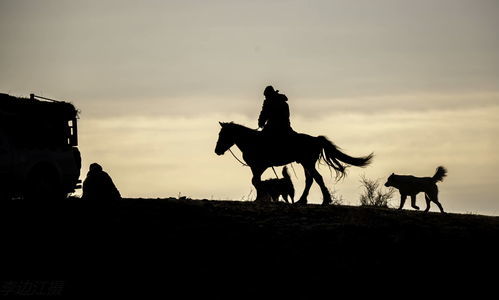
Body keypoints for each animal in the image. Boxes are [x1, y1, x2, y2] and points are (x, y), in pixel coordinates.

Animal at [215, 121, 376, 204]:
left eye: (223, 134)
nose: (217, 151)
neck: (251, 141)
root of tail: (316, 139)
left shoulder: (259, 166)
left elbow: (256, 181)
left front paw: (260, 199)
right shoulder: (257, 167)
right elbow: (256, 181)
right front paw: (260, 198)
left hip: (307, 162)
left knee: (317, 178)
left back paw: (325, 200)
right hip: (305, 164)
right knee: (310, 180)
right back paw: (302, 200)